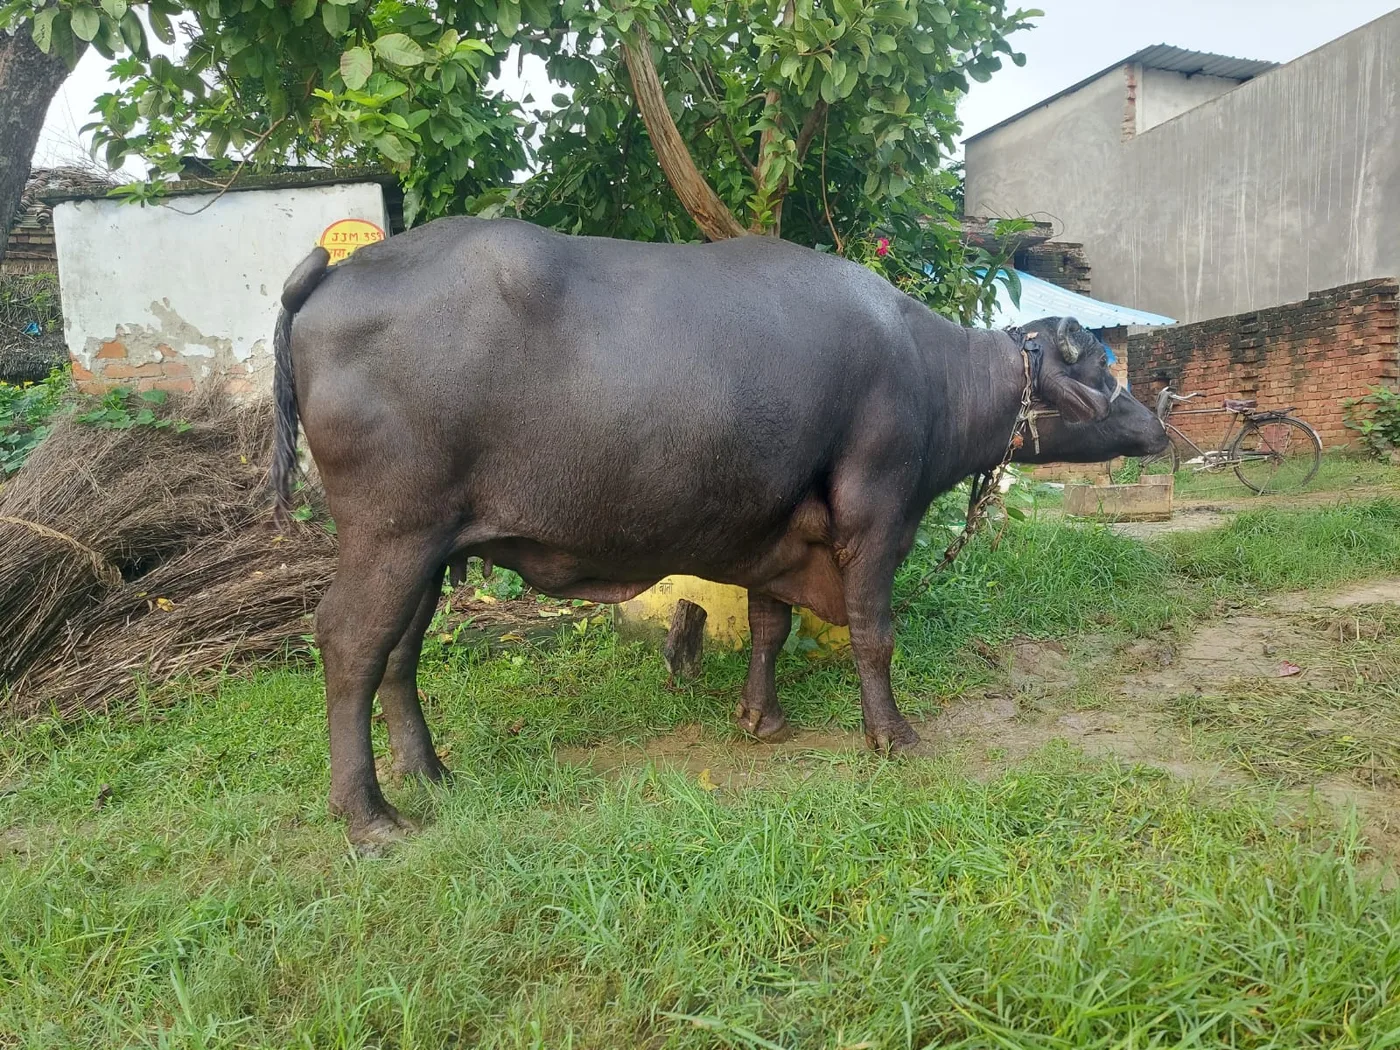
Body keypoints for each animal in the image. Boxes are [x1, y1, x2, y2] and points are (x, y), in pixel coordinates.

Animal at [272, 217, 1168, 844]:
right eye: (1097, 366)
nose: (1157, 426)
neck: (926, 372)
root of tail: (329, 278)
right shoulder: (874, 515)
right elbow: (875, 633)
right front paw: (892, 735)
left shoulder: (775, 532)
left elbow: (770, 624)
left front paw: (760, 718)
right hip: (392, 534)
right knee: (350, 642)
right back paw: (369, 815)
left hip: (430, 546)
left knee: (401, 652)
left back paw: (430, 773)